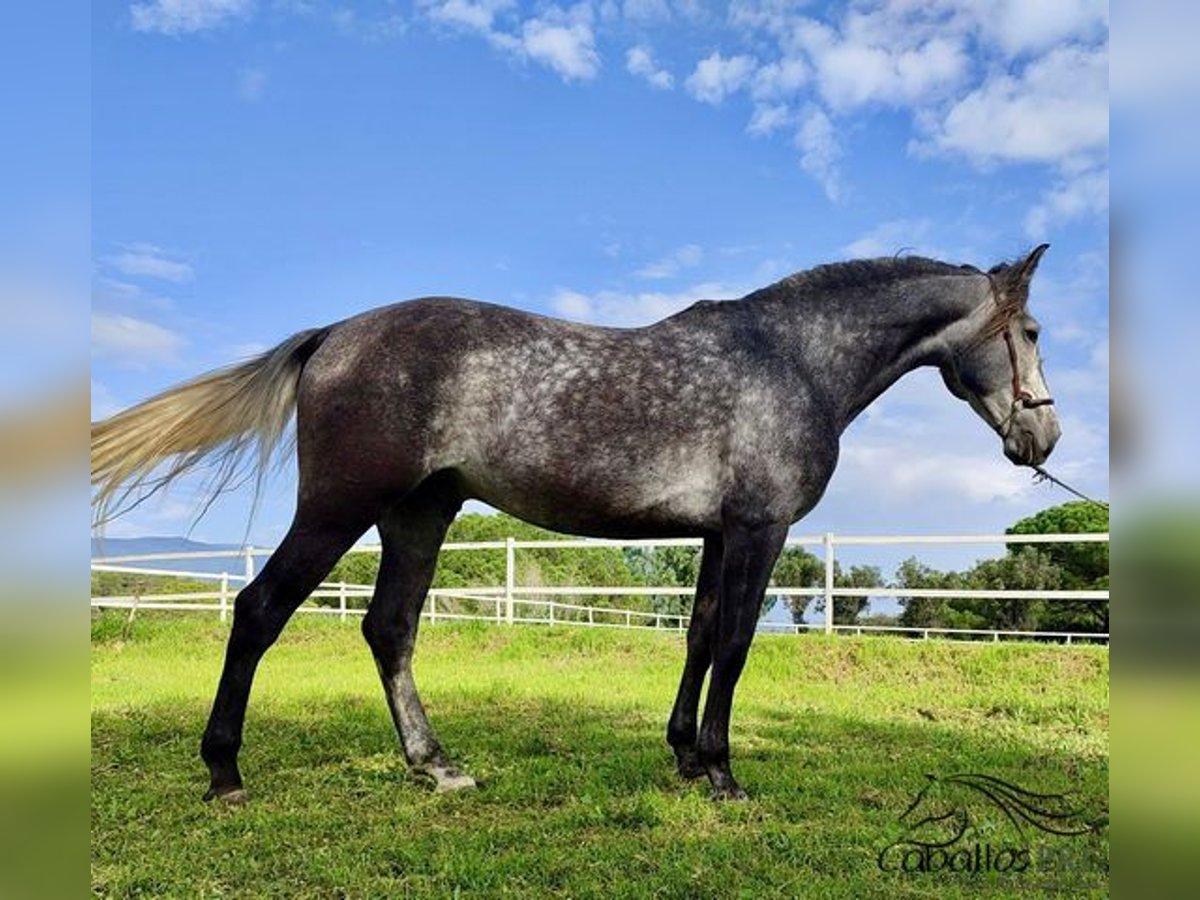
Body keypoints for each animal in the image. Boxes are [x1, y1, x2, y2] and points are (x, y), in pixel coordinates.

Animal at [91, 247, 1060, 801]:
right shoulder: (759, 530)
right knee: (259, 612)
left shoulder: (717, 535)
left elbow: (700, 636)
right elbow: (737, 644)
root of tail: (334, 333)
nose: (1043, 437)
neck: (790, 359)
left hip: (419, 514)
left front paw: (684, 759)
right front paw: (724, 774)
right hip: (340, 509)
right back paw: (224, 773)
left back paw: (436, 767)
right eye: (1034, 332)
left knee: (389, 629)